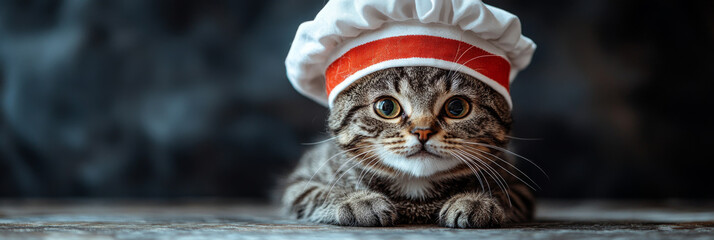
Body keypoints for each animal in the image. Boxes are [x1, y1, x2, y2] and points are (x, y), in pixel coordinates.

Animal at [280, 66, 532, 229]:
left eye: (457, 107)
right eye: (386, 106)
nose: (423, 131)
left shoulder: (519, 187)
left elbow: (504, 194)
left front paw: (475, 201)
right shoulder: (299, 182)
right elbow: (319, 192)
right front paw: (358, 201)